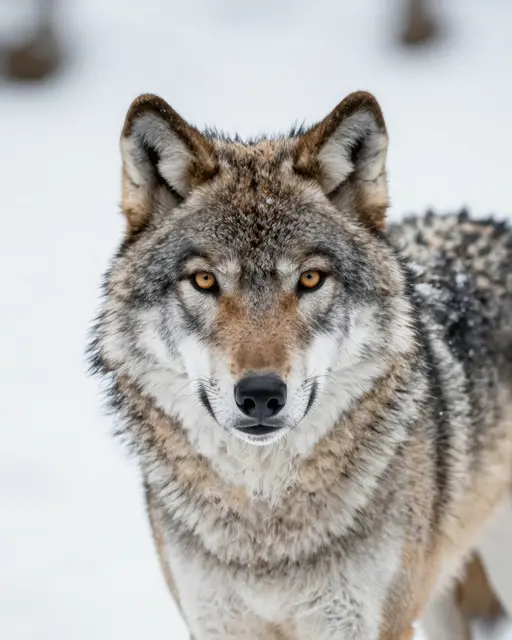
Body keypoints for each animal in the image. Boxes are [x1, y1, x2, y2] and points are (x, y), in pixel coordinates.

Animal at [89, 91, 512, 639]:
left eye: (310, 279)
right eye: (204, 280)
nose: (261, 394)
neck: (265, 527)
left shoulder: (361, 624)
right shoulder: (214, 623)